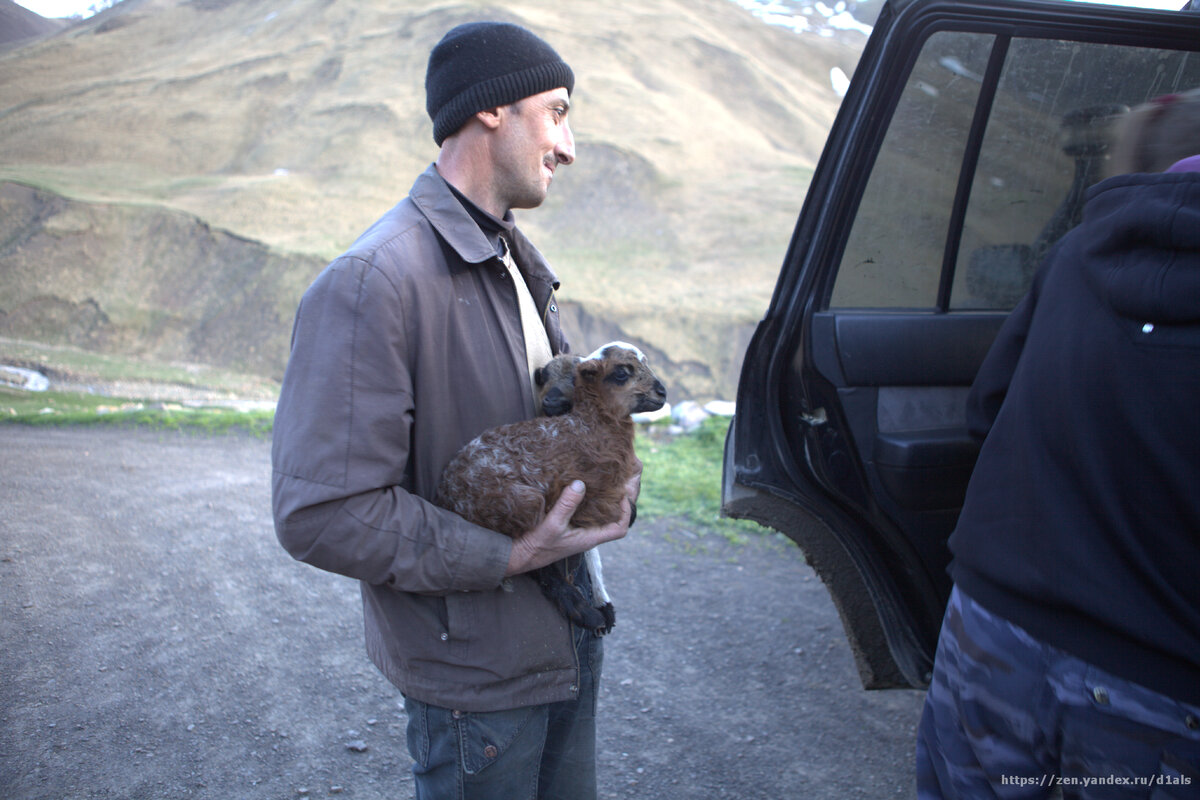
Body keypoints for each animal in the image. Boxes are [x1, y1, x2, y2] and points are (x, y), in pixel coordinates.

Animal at [436, 340, 672, 633]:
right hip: (520, 505)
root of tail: (445, 494)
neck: (592, 425)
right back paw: (583, 609)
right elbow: (604, 532)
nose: (662, 392)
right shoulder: (595, 502)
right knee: (524, 559)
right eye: (622, 372)